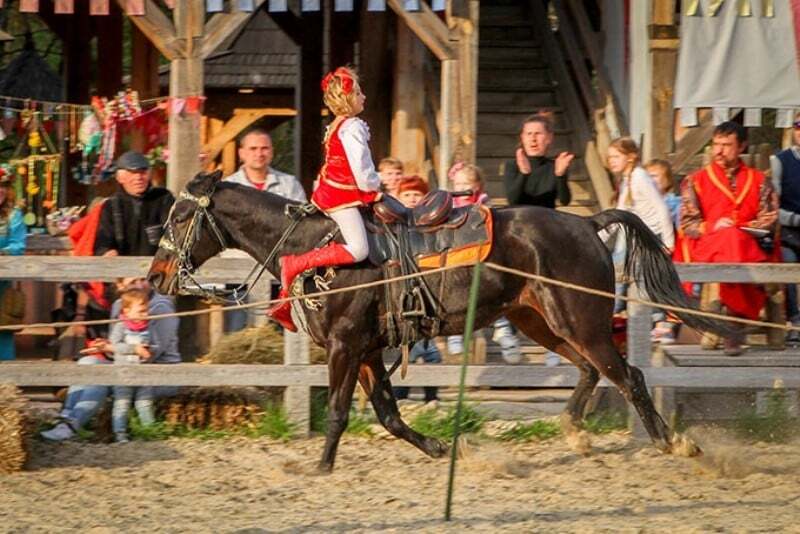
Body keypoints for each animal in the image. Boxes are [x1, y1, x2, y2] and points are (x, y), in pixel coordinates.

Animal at [147, 173, 728, 474]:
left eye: (181, 216)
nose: (154, 274)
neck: (315, 248)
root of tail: (587, 223)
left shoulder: (344, 346)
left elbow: (337, 412)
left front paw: (321, 466)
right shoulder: (368, 351)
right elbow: (388, 415)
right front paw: (444, 448)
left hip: (579, 322)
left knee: (627, 375)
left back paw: (674, 444)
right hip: (542, 322)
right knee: (592, 372)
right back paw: (576, 433)